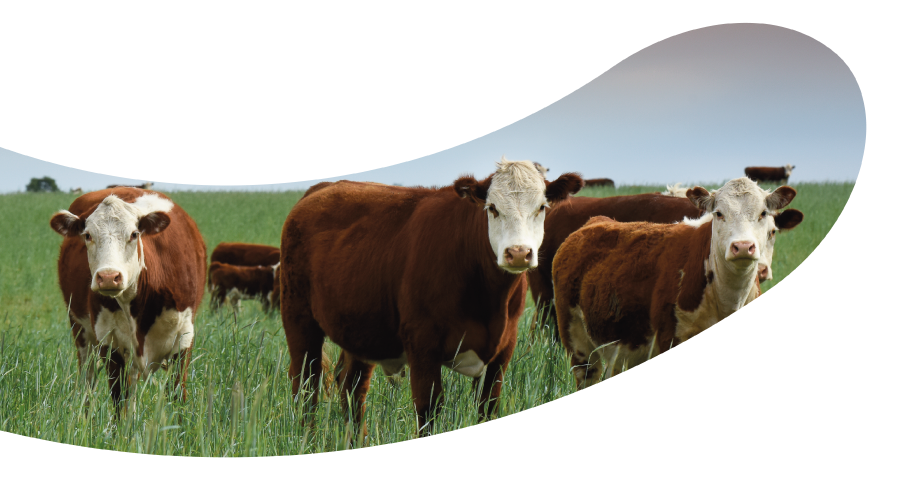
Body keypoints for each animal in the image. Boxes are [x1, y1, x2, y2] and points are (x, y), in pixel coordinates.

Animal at [49, 188, 206, 414]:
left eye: (134, 234)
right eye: (87, 235)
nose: (108, 276)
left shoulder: (184, 337)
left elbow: (177, 396)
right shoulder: (110, 341)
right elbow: (118, 401)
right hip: (81, 330)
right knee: (88, 381)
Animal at [280, 156, 584, 444]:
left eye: (541, 207)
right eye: (492, 208)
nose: (518, 253)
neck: (489, 301)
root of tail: (322, 188)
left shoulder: (502, 350)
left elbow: (487, 406)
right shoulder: (423, 347)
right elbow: (429, 410)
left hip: (361, 331)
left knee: (352, 386)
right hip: (299, 319)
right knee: (305, 384)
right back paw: (304, 440)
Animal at [552, 177, 797, 390]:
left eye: (763, 213)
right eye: (719, 213)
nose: (743, 246)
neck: (725, 298)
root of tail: (596, 222)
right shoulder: (670, 336)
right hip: (578, 343)